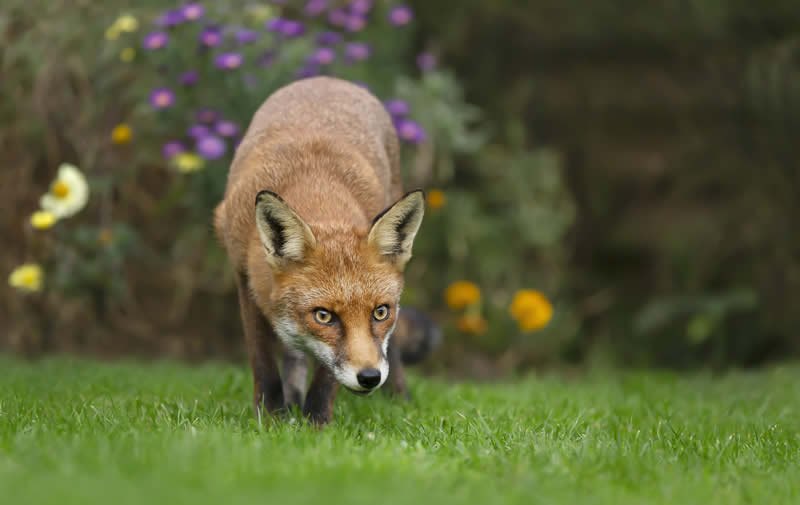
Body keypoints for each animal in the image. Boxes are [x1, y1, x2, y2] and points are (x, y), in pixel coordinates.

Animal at [214, 76, 430, 425]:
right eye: (323, 316)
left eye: (380, 312)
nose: (369, 377)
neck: (315, 185)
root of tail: (329, 79)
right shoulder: (244, 277)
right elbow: (263, 361)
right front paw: (270, 417)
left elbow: (327, 376)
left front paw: (316, 422)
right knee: (293, 355)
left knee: (391, 352)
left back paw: (401, 398)